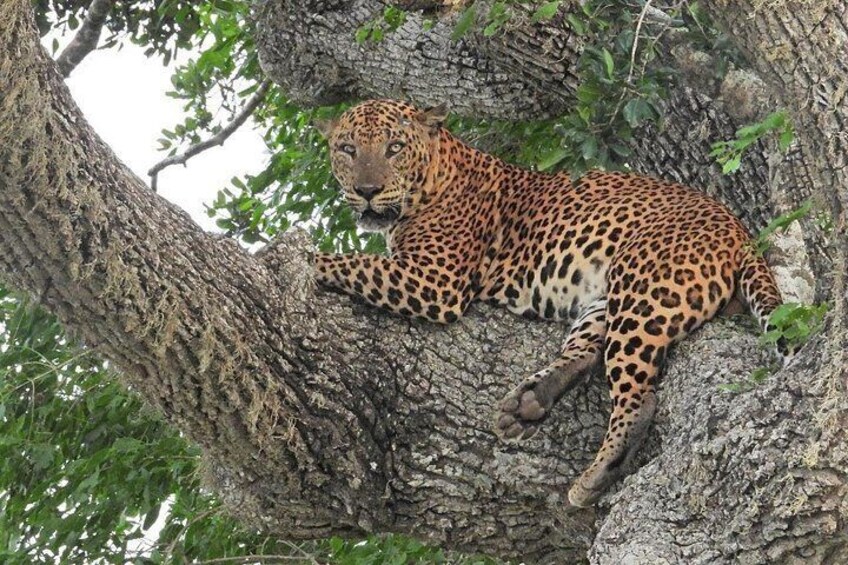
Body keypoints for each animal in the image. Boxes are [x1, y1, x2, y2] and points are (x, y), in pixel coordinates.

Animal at [312, 99, 790, 507]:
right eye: (347, 149)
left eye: (394, 148)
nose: (367, 190)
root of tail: (739, 230)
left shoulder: (435, 280)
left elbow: (355, 263)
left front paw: (306, 259)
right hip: (607, 298)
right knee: (586, 352)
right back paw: (528, 402)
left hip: (644, 289)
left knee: (638, 398)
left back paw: (595, 474)